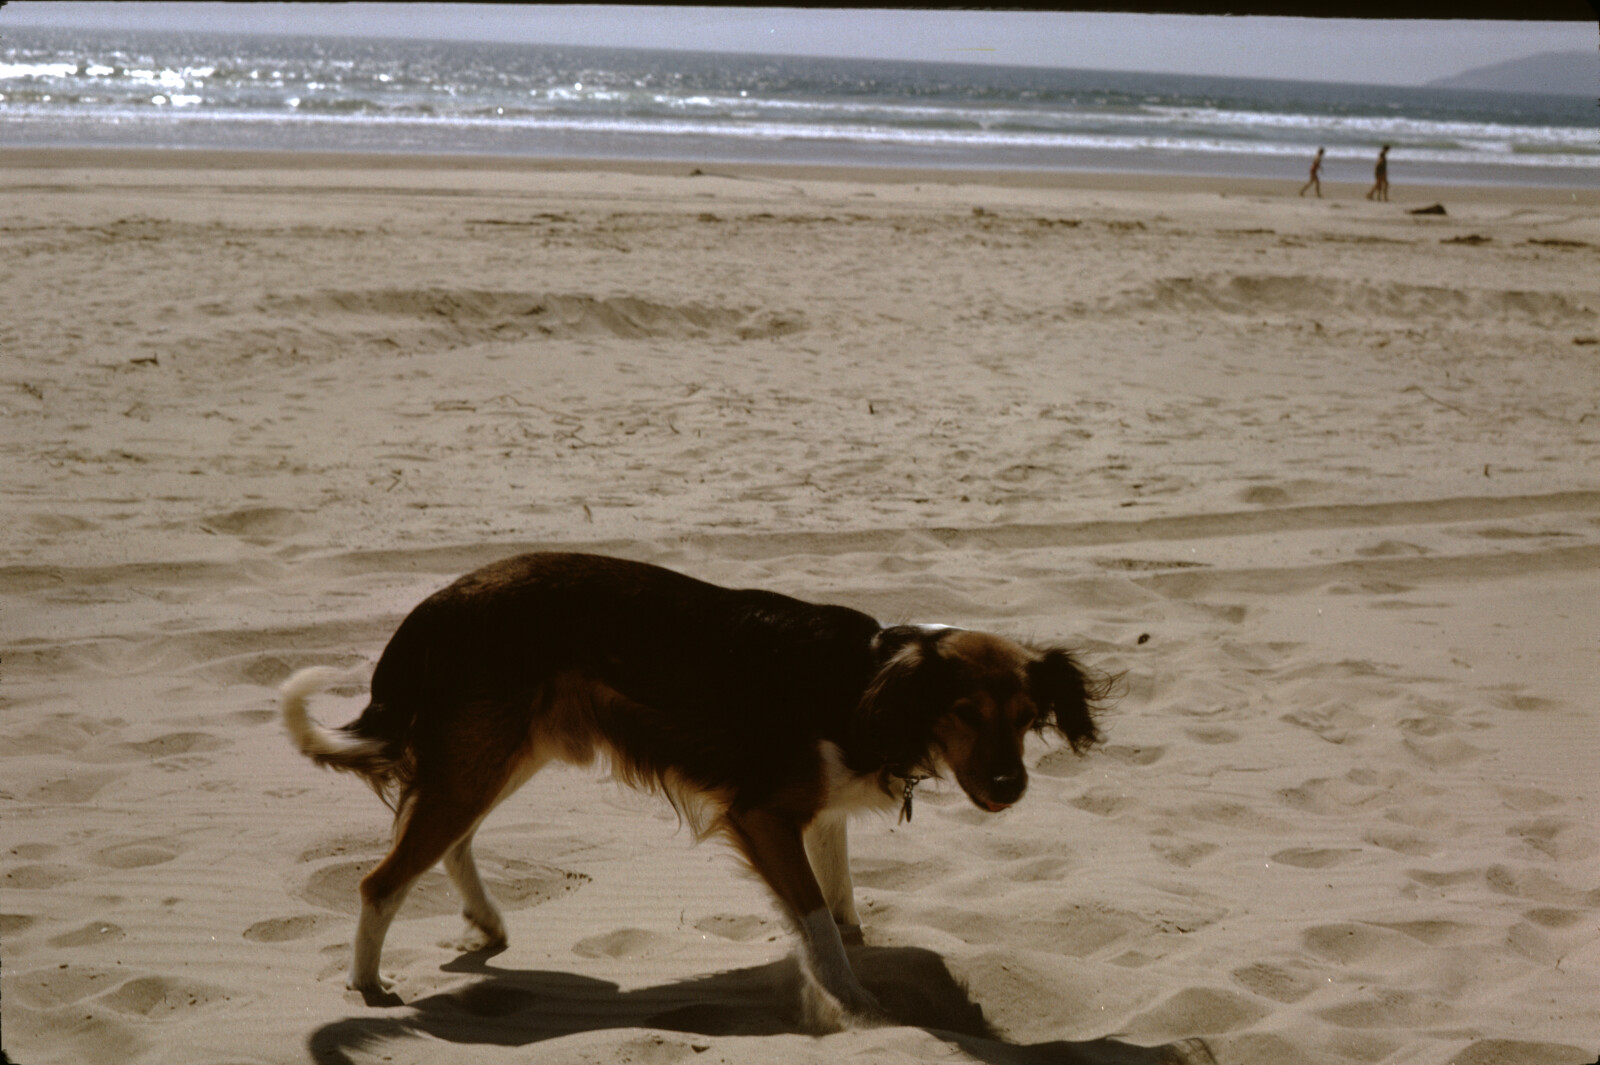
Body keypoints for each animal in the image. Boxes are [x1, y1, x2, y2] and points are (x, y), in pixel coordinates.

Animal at [284, 550, 1113, 1017]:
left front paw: (856, 961)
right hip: (483, 755)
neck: (867, 680)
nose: (1009, 786)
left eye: (1028, 716)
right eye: (965, 712)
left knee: (448, 842)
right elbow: (816, 913)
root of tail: (437, 603)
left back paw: (483, 921)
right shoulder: (761, 813)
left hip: (505, 751)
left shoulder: (821, 813)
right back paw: (368, 983)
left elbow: (841, 902)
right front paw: (852, 998)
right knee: (381, 879)